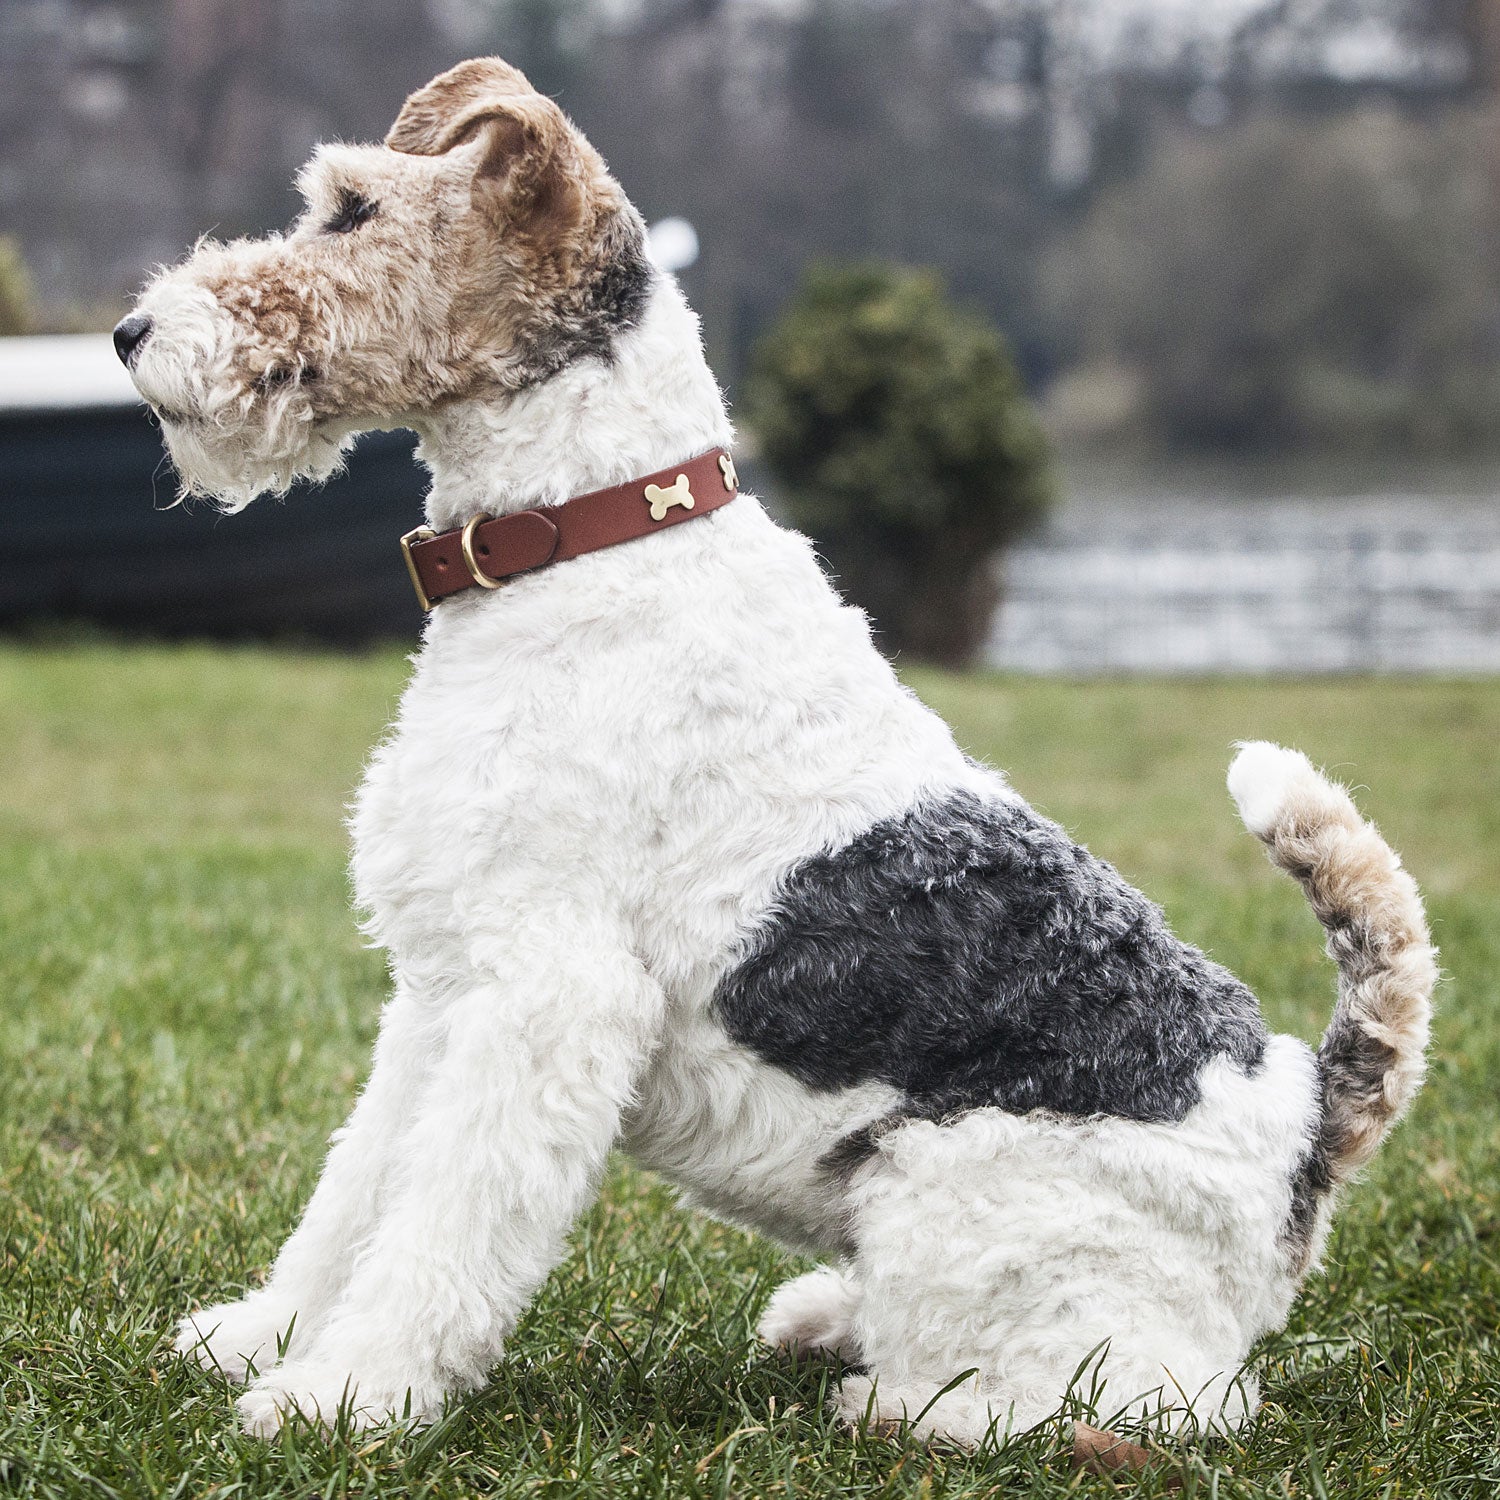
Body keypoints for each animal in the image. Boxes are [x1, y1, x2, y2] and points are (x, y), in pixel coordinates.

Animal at [111, 61, 1434, 1452]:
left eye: (355, 212)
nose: (132, 332)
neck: (593, 537)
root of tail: (1308, 1136)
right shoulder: (441, 989)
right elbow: (355, 1193)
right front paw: (255, 1340)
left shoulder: (547, 996)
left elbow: (438, 1235)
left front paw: (340, 1398)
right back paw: (822, 1319)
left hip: (953, 1191)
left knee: (1140, 1399)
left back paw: (888, 1399)